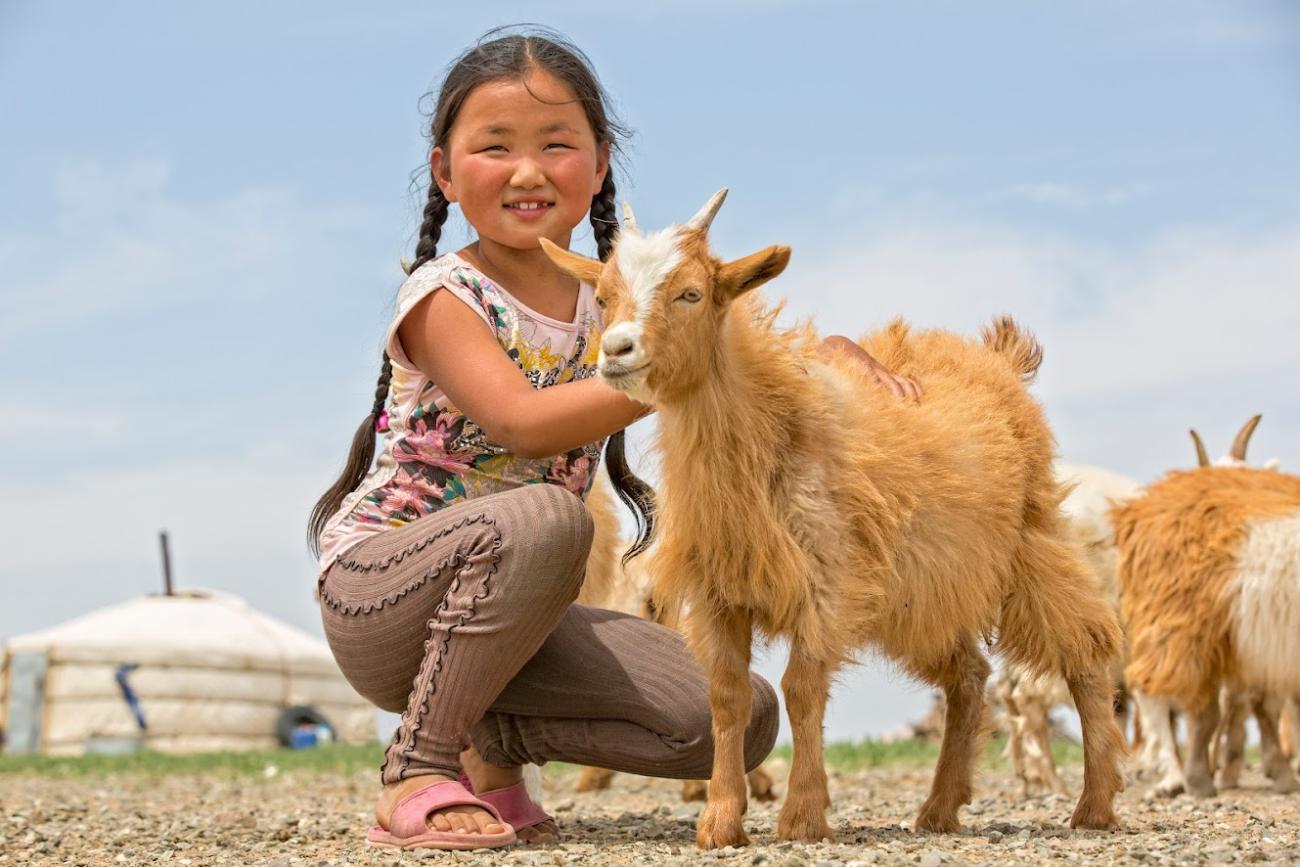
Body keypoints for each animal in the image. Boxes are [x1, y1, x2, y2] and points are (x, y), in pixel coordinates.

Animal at [540, 189, 1128, 847]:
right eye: (604, 296)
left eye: (690, 293)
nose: (616, 350)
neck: (772, 425)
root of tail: (994, 358)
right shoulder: (721, 590)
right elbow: (726, 696)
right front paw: (721, 820)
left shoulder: (828, 580)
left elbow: (801, 690)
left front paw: (802, 815)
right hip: (925, 593)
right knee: (970, 674)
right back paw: (940, 807)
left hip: (1030, 547)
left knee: (1087, 652)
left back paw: (1094, 803)